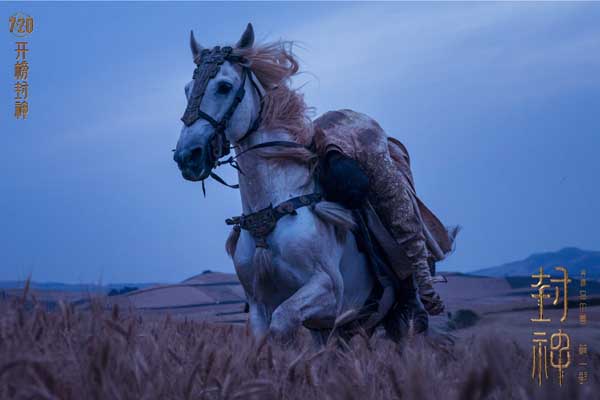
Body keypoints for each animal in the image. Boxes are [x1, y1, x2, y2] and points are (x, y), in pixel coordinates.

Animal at [175, 25, 398, 342]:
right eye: (187, 90)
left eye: (224, 87)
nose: (186, 156)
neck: (272, 205)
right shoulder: (259, 304)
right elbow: (264, 337)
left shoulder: (329, 291)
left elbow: (282, 323)